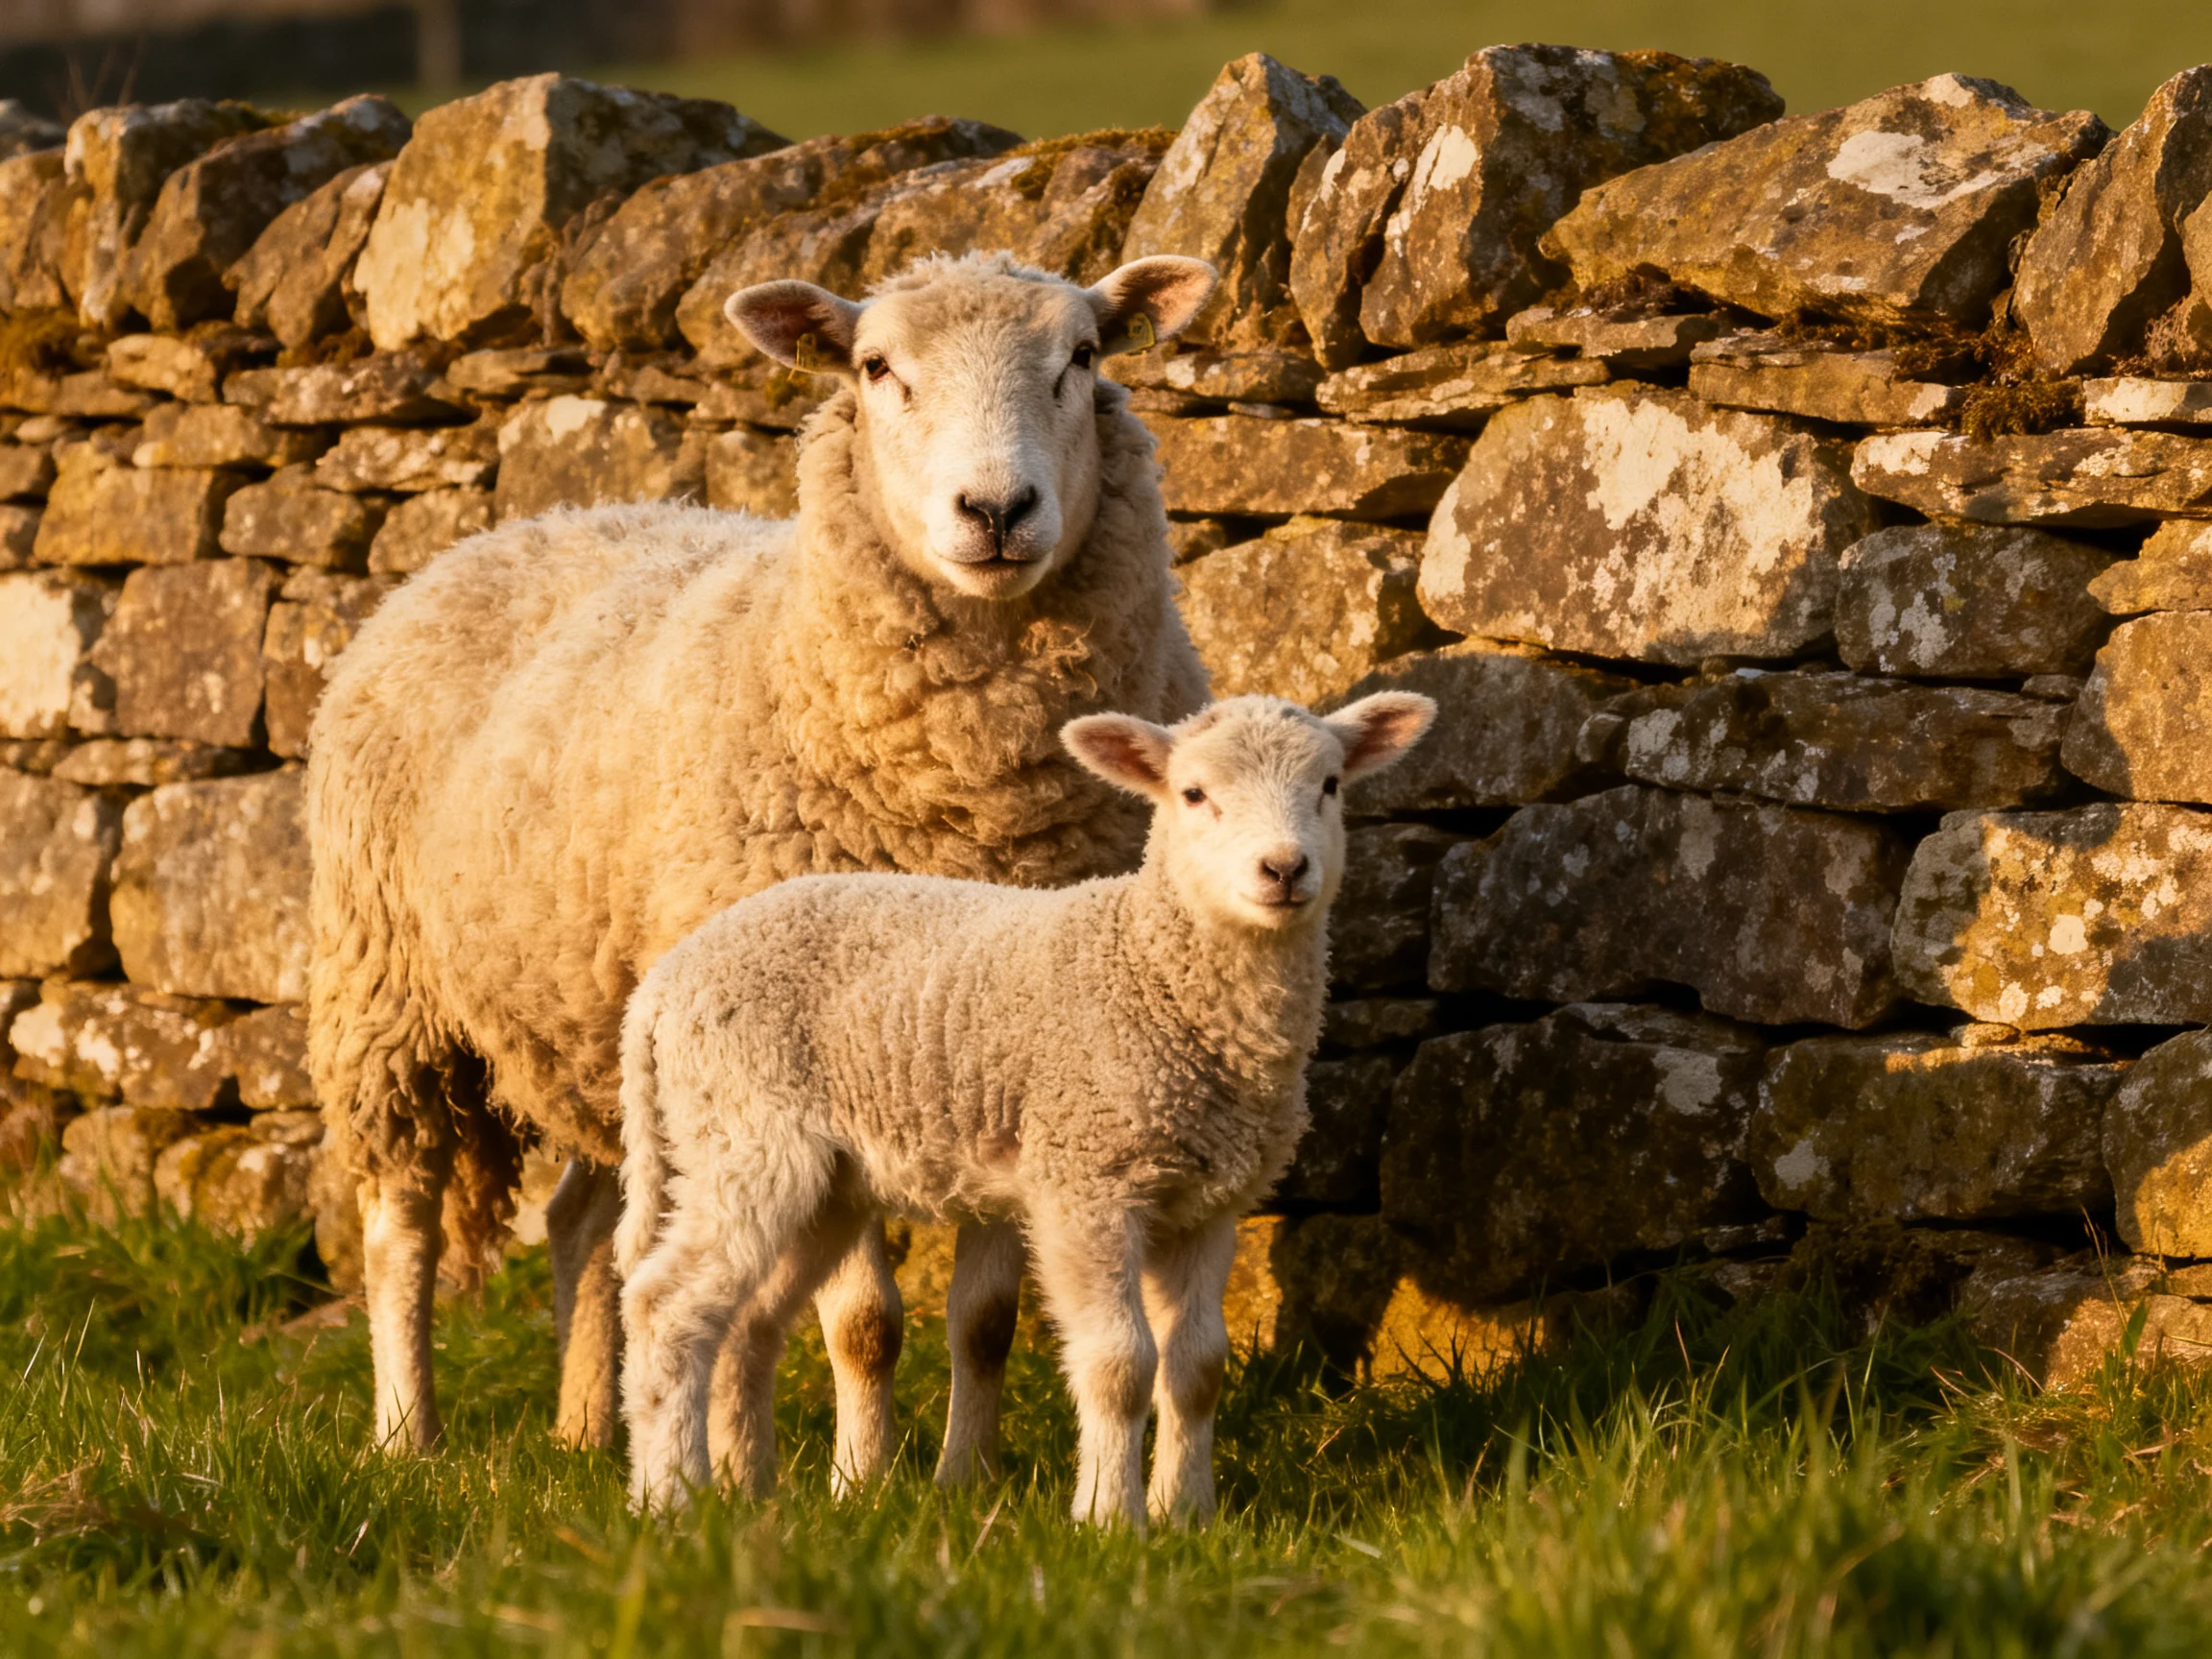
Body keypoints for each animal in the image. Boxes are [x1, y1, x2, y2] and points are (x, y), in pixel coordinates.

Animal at [305, 249, 1218, 1483]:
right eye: (877, 368)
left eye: (1083, 356)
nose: (995, 510)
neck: (972, 797)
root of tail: (513, 527)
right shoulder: (815, 1049)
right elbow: (863, 1321)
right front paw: (856, 1482)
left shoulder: (1007, 1036)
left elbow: (983, 1318)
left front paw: (964, 1481)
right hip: (389, 995)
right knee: (400, 1224)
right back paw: (409, 1435)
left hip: (614, 1017)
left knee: (590, 1225)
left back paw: (589, 1424)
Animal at [616, 690, 1437, 1523]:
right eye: (1193, 794)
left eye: (1330, 785)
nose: (1284, 868)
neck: (1152, 967)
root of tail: (663, 985)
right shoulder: (1086, 1179)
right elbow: (1120, 1363)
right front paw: (1109, 1516)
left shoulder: (1208, 1202)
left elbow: (1199, 1366)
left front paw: (1189, 1515)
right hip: (742, 1134)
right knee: (665, 1306)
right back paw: (670, 1496)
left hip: (826, 1183)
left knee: (746, 1321)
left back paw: (745, 1490)